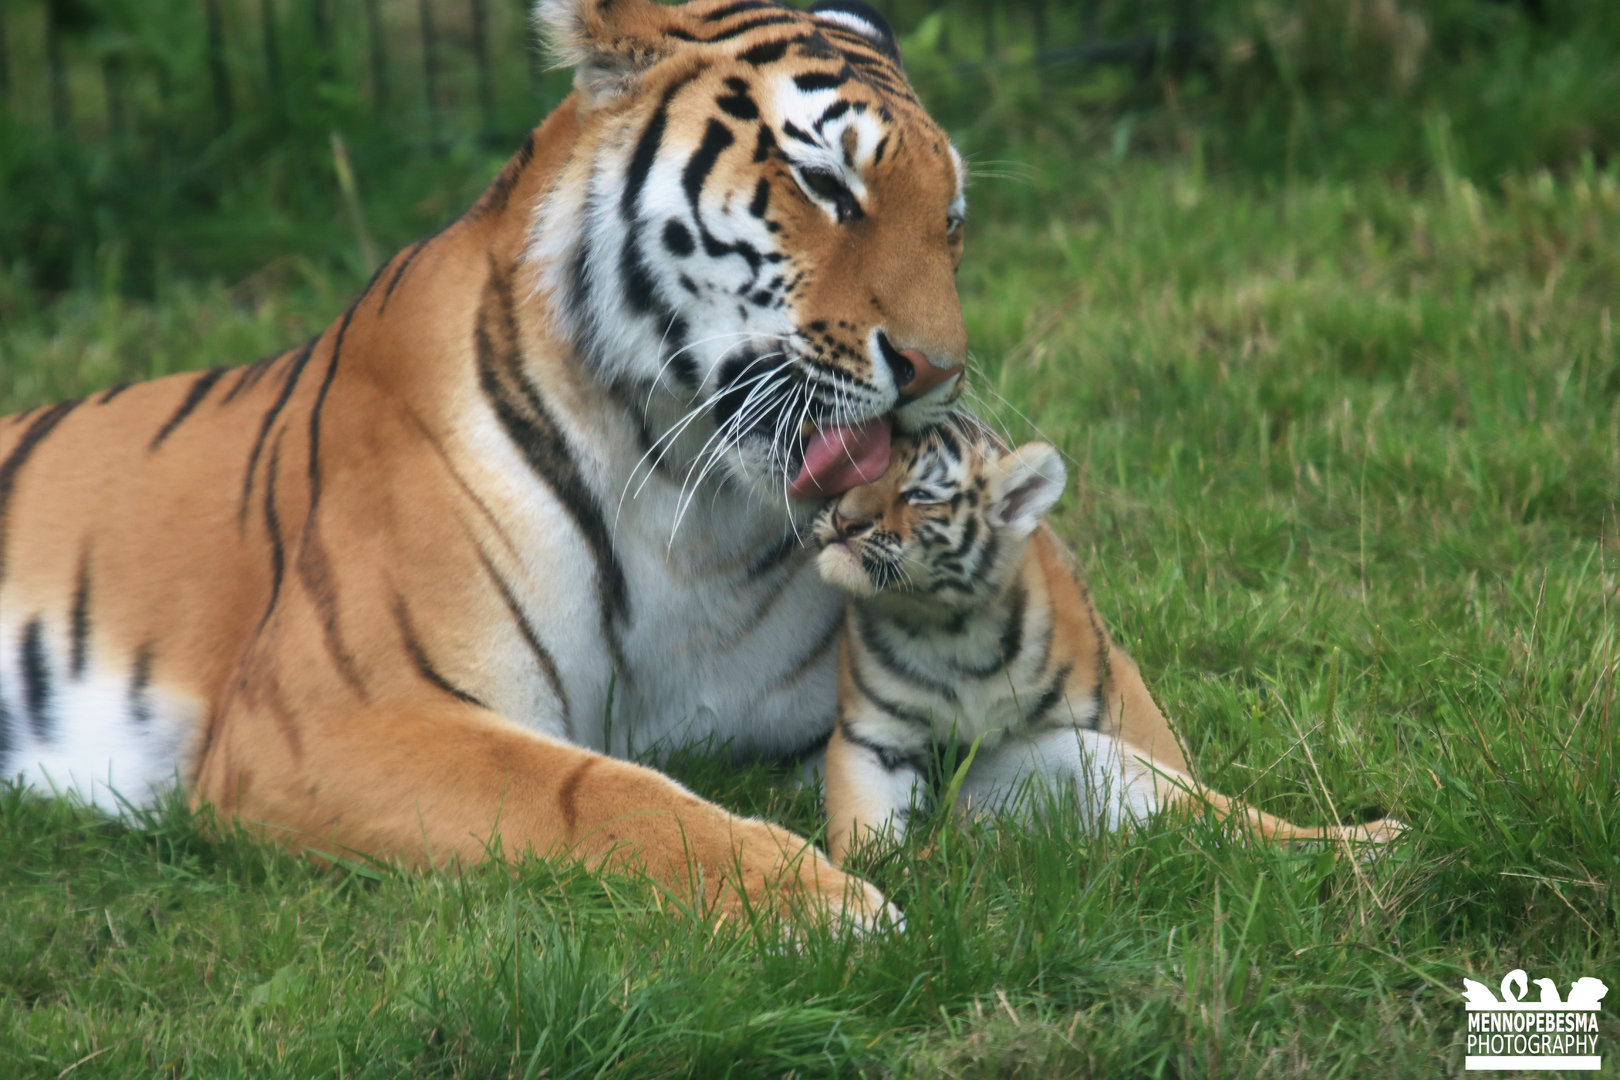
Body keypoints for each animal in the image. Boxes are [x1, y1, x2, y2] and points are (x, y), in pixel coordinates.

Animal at [0, 0, 976, 927]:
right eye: (826, 185)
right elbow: (597, 790)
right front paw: (824, 905)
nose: (938, 371)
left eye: (951, 222)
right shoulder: (334, 714)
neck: (685, 496)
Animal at [812, 422, 1407, 864]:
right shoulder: (873, 739)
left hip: (1092, 755)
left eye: (916, 495)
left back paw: (1382, 839)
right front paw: (879, 875)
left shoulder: (1114, 690)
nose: (842, 521)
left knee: (1239, 823)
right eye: (848, 477)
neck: (945, 624)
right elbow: (862, 836)